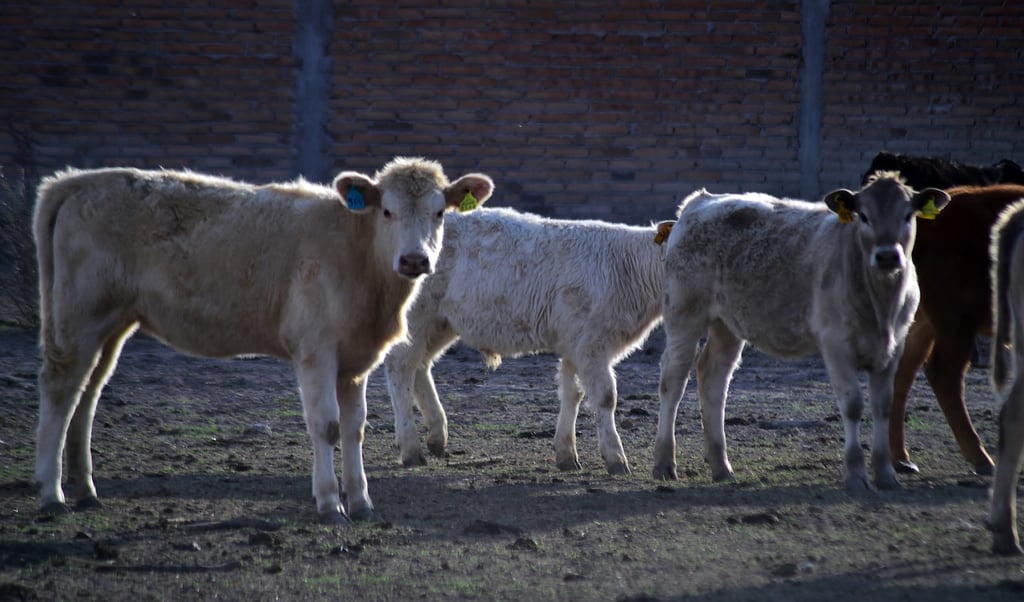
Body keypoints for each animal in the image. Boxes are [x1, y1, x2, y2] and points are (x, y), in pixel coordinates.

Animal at [33, 158, 495, 522]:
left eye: (440, 212)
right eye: (386, 210)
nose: (415, 260)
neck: (358, 258)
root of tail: (78, 181)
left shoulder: (356, 359)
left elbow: (354, 428)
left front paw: (362, 502)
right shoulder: (315, 352)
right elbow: (327, 426)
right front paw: (330, 504)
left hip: (112, 324)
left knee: (88, 394)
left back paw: (85, 490)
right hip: (78, 317)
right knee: (61, 389)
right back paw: (52, 493)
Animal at [382, 206, 663, 475]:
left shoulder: (575, 342)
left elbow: (572, 393)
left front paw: (566, 454)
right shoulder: (591, 344)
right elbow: (606, 396)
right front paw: (616, 457)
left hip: (440, 322)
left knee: (420, 366)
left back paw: (437, 436)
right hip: (417, 315)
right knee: (400, 366)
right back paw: (411, 449)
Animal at [655, 173, 950, 489]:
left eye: (908, 215)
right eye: (864, 216)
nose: (886, 256)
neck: (881, 305)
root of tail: (700, 201)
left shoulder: (894, 347)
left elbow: (883, 405)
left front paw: (885, 474)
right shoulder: (836, 345)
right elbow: (852, 404)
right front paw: (856, 473)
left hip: (727, 324)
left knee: (714, 377)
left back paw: (722, 466)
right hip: (684, 315)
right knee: (673, 379)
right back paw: (664, 462)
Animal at [888, 183, 1024, 475]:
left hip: (923, 323)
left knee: (902, 373)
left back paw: (901, 459)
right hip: (955, 324)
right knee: (944, 374)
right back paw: (982, 459)